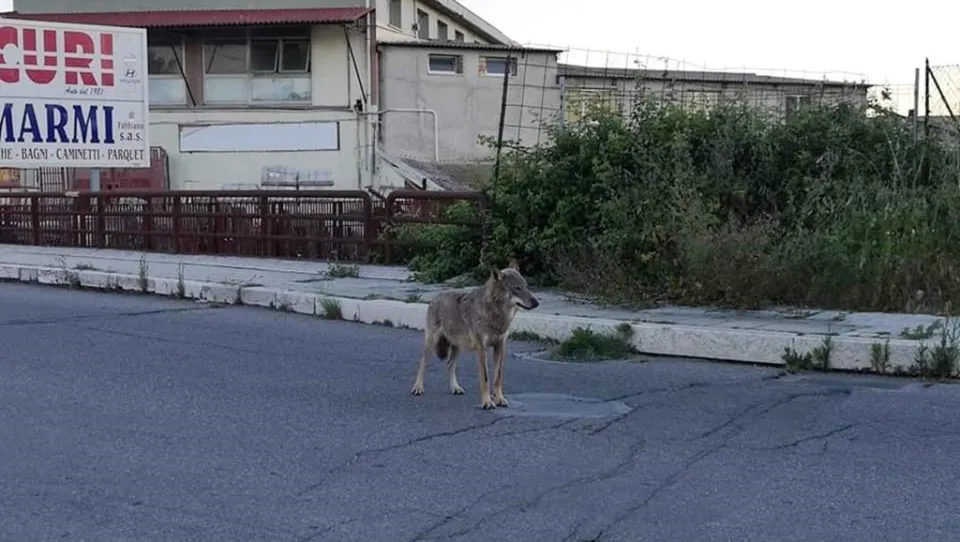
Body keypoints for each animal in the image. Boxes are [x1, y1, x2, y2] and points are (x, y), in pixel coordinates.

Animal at [410, 259, 540, 410]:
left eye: (526, 286)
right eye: (517, 288)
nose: (537, 303)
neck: (495, 314)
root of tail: (435, 298)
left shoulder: (500, 347)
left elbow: (498, 378)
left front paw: (500, 399)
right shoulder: (481, 349)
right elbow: (485, 378)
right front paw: (487, 402)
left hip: (458, 348)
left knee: (449, 364)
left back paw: (455, 388)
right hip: (432, 343)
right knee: (422, 364)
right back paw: (418, 388)